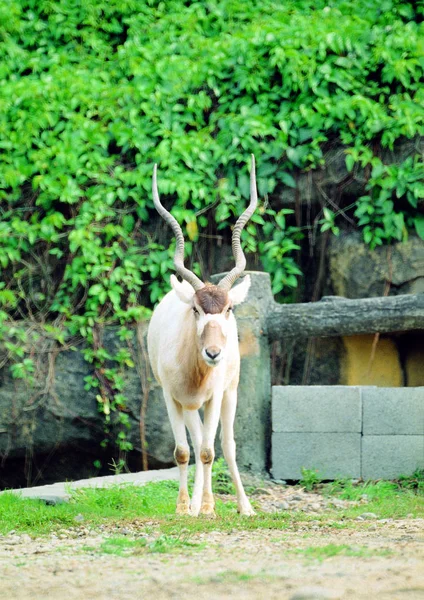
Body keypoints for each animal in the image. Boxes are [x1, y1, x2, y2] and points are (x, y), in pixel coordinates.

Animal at [147, 155, 256, 516]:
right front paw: (185, 507)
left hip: (229, 394)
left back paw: (242, 506)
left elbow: (211, 451)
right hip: (189, 406)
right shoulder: (172, 397)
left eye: (228, 309)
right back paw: (194, 504)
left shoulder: (215, 396)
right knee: (195, 443)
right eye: (195, 309)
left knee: (225, 445)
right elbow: (184, 451)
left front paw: (209, 507)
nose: (213, 353)